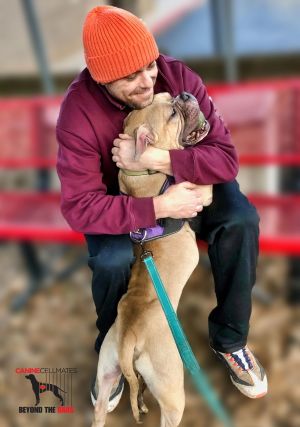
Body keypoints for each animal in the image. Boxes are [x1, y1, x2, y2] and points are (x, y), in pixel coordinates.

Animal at [92, 92, 212, 426]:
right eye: (171, 114)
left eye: (167, 96)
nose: (184, 94)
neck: (140, 173)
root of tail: (128, 337)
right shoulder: (199, 190)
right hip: (171, 392)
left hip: (107, 372)